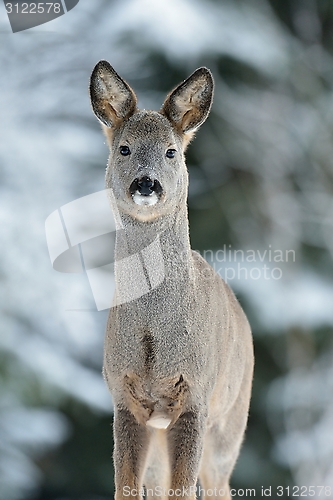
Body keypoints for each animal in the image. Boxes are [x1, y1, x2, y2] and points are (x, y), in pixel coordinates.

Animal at [88, 61, 252, 500]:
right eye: (124, 148)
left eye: (171, 151)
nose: (146, 183)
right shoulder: (123, 396)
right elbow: (126, 488)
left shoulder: (196, 395)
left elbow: (183, 489)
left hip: (230, 422)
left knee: (218, 486)